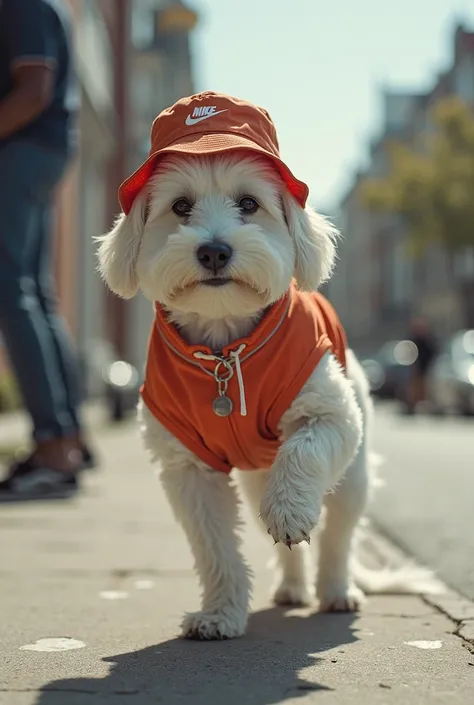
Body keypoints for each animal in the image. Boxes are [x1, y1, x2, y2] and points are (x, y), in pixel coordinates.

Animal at [96, 92, 436, 640]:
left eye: (249, 204)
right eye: (181, 206)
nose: (214, 250)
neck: (225, 348)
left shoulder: (330, 416)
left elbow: (303, 453)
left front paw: (290, 508)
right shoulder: (187, 468)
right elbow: (214, 549)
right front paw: (219, 613)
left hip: (353, 478)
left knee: (337, 537)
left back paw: (336, 589)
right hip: (258, 477)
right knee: (287, 546)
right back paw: (293, 587)